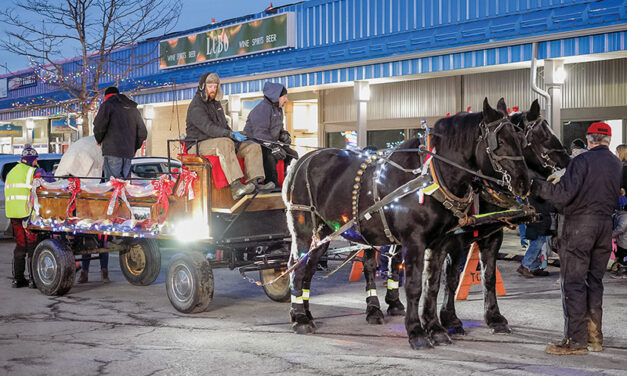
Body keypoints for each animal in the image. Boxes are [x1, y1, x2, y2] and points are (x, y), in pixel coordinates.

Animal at [284, 97, 528, 350]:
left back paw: (304, 313)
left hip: (324, 232)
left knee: (309, 267)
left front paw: (436, 328)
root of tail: (302, 160)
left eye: (521, 140)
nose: (523, 182)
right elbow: (413, 286)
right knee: (297, 265)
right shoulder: (415, 241)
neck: (431, 175)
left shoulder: (441, 243)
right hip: (304, 227)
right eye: (500, 141)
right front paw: (417, 331)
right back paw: (300, 318)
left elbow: (433, 284)